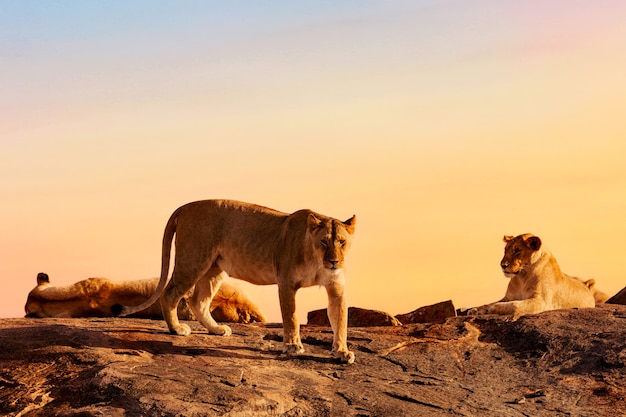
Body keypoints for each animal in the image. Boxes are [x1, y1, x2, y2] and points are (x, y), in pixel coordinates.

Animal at [113, 200, 356, 362]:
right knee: (171, 293)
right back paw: (177, 329)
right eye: (324, 241)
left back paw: (216, 329)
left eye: (342, 242)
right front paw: (293, 346)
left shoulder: (337, 288)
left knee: (198, 301)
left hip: (214, 268)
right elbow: (292, 317)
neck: (317, 260)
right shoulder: (286, 283)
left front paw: (342, 351)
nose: (334, 261)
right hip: (193, 259)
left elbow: (340, 319)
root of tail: (183, 207)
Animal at [470, 232, 608, 316]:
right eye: (505, 250)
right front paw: (474, 309)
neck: (522, 276)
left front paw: (493, 308)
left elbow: (515, 306)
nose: (503, 265)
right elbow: (488, 303)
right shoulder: (508, 297)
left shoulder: (541, 301)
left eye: (517, 251)